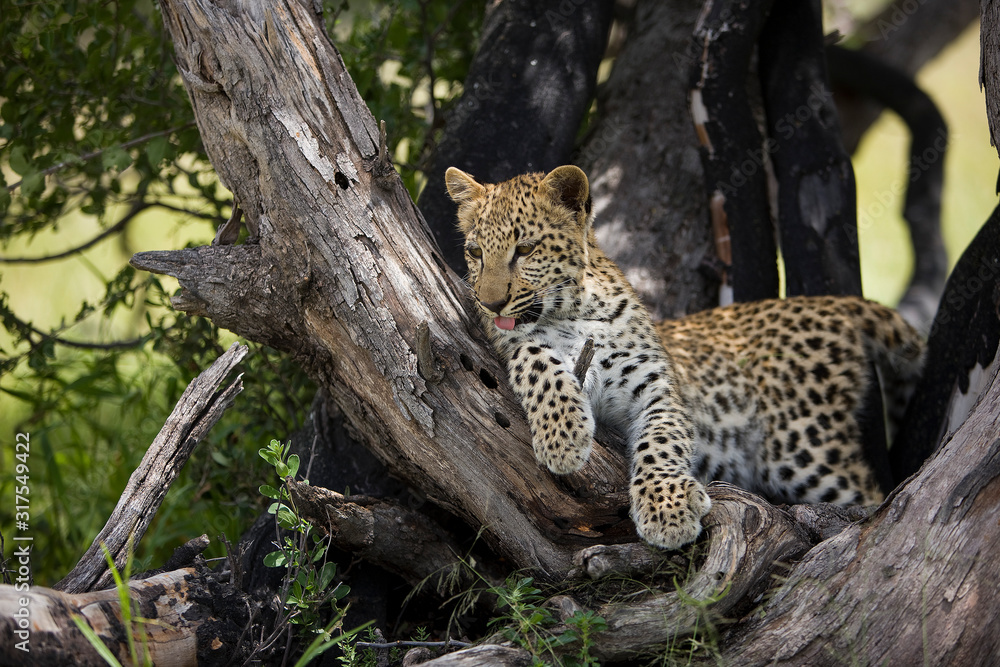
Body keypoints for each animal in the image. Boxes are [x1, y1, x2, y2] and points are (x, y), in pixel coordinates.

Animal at [445, 164, 924, 550]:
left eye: (525, 249)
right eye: (475, 252)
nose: (490, 303)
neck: (572, 311)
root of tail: (834, 303)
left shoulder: (656, 387)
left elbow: (661, 441)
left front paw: (667, 511)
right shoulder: (513, 344)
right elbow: (535, 358)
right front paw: (564, 437)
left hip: (805, 450)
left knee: (869, 498)